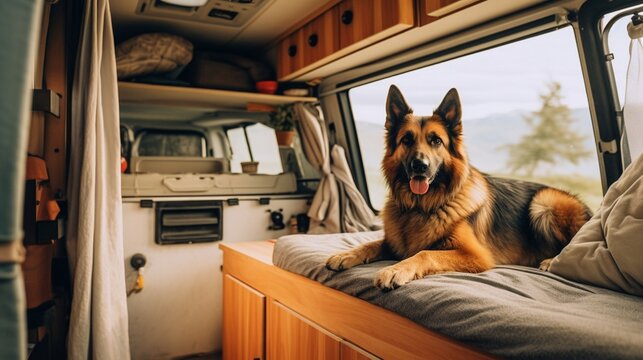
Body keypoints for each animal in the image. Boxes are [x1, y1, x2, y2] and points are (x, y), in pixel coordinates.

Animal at [330, 86, 592, 292]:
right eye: (407, 139)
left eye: (436, 140)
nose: (419, 166)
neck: (421, 207)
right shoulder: (393, 243)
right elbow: (371, 244)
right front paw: (345, 254)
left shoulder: (474, 255)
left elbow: (424, 253)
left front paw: (395, 270)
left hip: (544, 202)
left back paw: (551, 261)